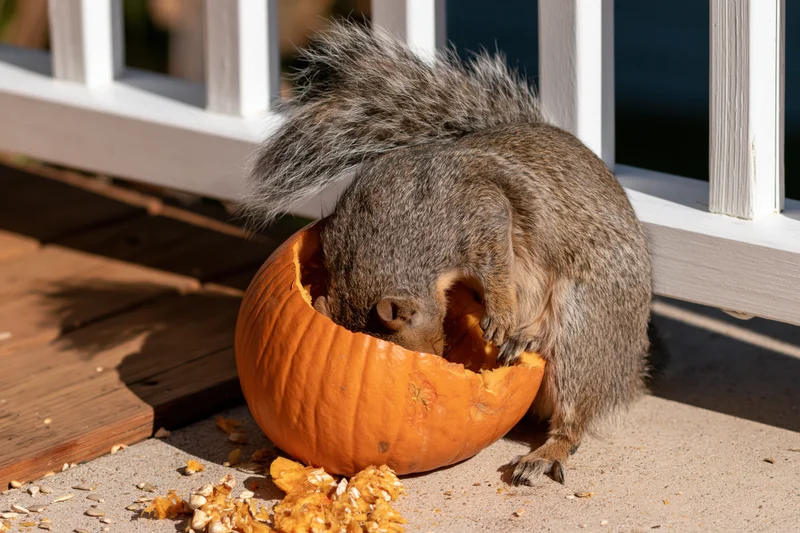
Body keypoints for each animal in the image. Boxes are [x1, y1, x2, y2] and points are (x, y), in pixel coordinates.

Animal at [242, 21, 665, 486]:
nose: (442, 362)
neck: (383, 245)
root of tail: (626, 371)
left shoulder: (478, 212)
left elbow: (497, 259)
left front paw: (500, 314)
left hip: (587, 321)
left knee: (573, 412)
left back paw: (541, 428)